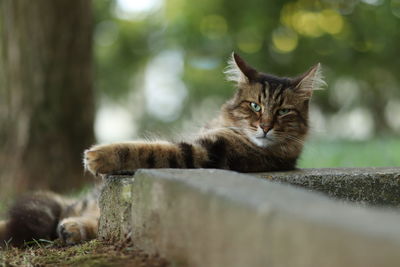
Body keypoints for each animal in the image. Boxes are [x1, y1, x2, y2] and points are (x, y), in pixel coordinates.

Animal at [0, 52, 324, 247]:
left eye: (283, 112)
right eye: (255, 106)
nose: (265, 127)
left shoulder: (201, 153)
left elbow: (148, 149)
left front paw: (98, 155)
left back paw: (72, 229)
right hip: (79, 203)